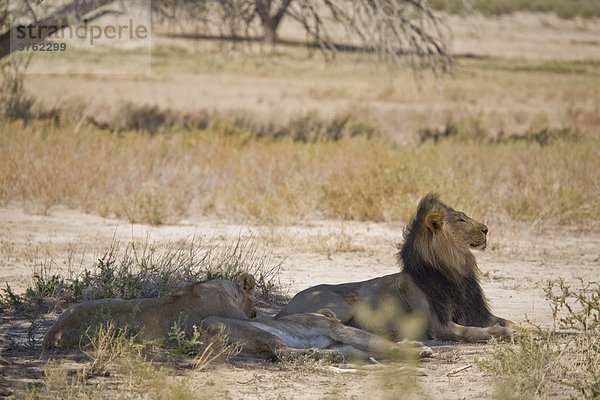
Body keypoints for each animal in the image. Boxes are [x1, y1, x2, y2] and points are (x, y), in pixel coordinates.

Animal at [276, 195, 516, 344]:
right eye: (461, 219)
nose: (486, 229)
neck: (456, 270)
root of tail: (286, 305)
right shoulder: (440, 326)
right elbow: (473, 332)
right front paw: (501, 332)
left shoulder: (475, 312)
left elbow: (511, 321)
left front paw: (521, 330)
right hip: (342, 305)